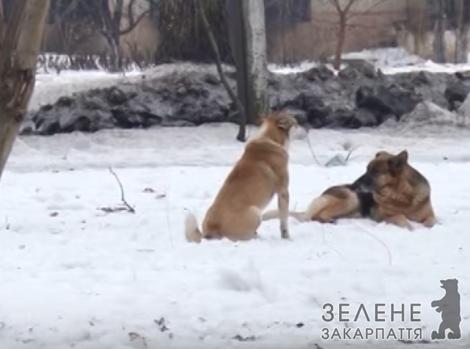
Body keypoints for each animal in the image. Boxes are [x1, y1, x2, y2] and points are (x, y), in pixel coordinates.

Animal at [185, 112, 298, 242]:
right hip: (255, 212)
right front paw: (286, 237)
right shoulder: (283, 192)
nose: (303, 126)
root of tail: (210, 231)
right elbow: (284, 220)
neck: (269, 139)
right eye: (295, 122)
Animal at [264, 150, 436, 228]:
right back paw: (329, 220)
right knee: (316, 216)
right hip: (352, 199)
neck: (402, 196)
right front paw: (410, 225)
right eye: (366, 169)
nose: (355, 185)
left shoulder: (431, 216)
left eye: (375, 172)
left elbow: (430, 222)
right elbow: (400, 218)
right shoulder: (383, 216)